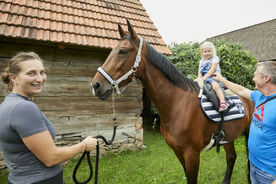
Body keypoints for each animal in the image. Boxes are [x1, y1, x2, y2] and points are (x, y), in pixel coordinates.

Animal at [91, 20, 254, 184]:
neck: (177, 104)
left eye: (123, 51)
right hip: (229, 137)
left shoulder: (192, 153)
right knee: (231, 158)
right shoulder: (178, 151)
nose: (96, 85)